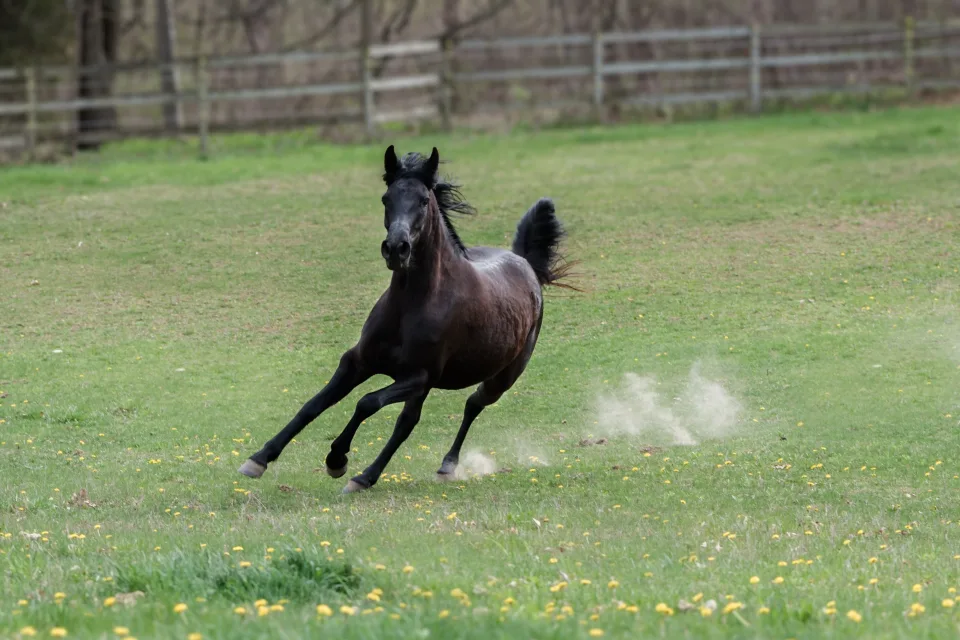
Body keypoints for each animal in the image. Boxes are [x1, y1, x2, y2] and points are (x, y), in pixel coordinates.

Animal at [239, 145, 573, 493]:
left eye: (424, 200)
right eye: (386, 198)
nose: (396, 249)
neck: (411, 306)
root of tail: (525, 263)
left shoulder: (418, 376)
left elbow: (368, 403)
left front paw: (337, 460)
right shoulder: (357, 362)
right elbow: (314, 404)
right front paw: (259, 458)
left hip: (500, 378)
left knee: (466, 406)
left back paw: (404, 471)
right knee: (423, 417)